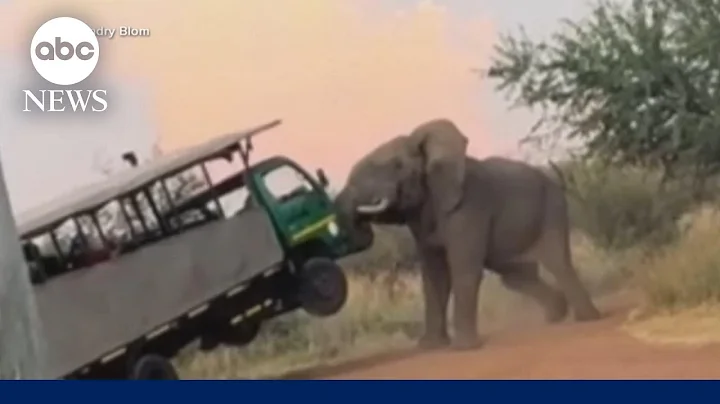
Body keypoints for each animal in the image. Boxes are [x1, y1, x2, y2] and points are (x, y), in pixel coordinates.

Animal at [334, 118, 601, 350]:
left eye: (397, 166)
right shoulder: (422, 220)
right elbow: (434, 278)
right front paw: (430, 347)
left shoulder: (470, 206)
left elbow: (463, 270)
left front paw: (463, 348)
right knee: (516, 276)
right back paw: (556, 314)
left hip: (552, 207)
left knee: (558, 262)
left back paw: (587, 318)